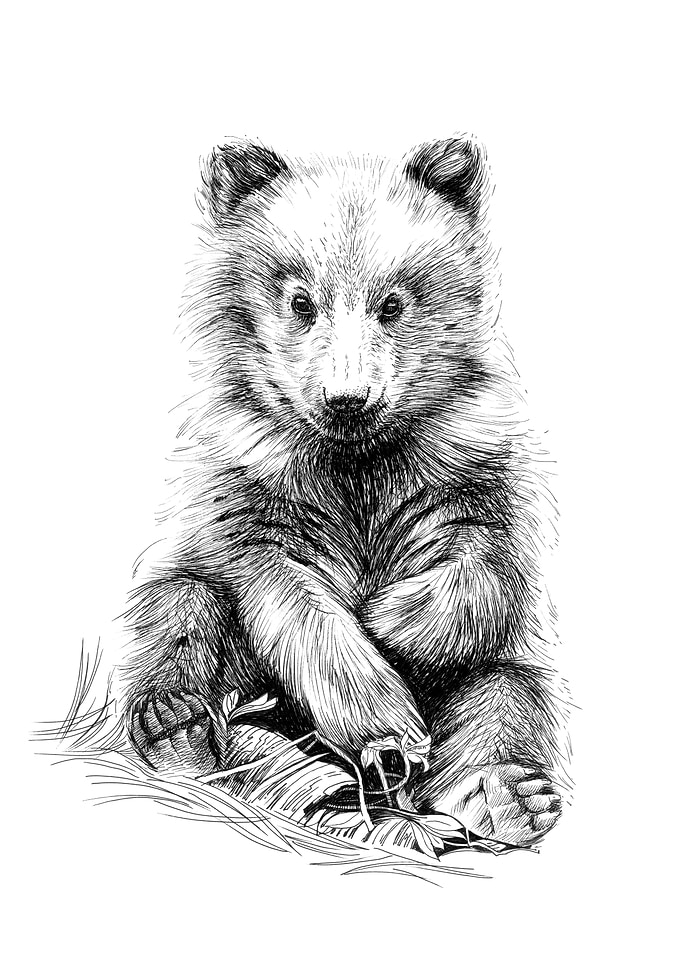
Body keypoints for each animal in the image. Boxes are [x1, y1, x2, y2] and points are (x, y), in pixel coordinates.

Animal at [121, 136, 568, 848]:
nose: (348, 400)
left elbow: (489, 568)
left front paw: (387, 617)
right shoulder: (250, 484)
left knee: (509, 697)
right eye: (302, 302)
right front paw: (388, 734)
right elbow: (294, 603)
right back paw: (178, 722)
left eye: (392, 304)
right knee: (180, 608)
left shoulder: (471, 460)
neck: (355, 462)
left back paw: (508, 796)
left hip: (513, 681)